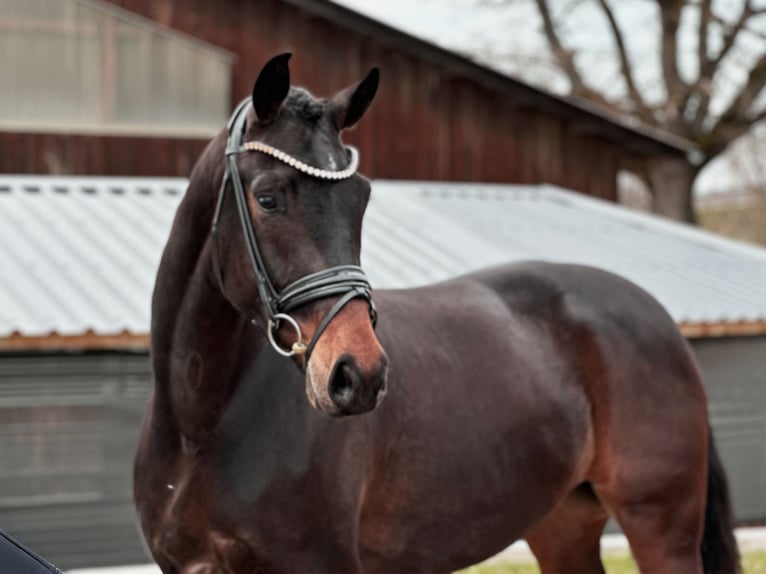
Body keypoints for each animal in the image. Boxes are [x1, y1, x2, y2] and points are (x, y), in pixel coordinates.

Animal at [134, 53, 741, 574]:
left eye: (361, 198)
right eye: (267, 198)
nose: (359, 374)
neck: (200, 427)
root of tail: (655, 315)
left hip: (660, 525)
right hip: (562, 524)